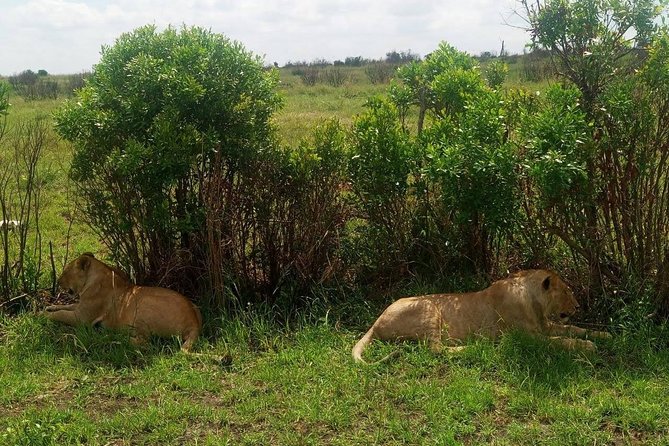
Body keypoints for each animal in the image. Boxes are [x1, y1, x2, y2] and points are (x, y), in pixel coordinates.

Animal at [45, 253, 202, 352]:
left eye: (65, 272)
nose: (58, 282)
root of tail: (193, 323)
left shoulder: (82, 318)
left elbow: (61, 314)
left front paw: (42, 316)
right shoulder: (80, 307)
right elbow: (66, 306)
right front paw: (49, 307)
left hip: (142, 308)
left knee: (146, 342)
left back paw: (113, 336)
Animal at [352, 269, 610, 363]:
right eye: (567, 292)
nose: (577, 306)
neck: (534, 302)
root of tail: (375, 323)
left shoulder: (544, 326)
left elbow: (572, 329)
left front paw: (605, 335)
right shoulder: (528, 338)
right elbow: (561, 341)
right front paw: (588, 346)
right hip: (428, 308)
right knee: (436, 349)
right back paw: (478, 347)